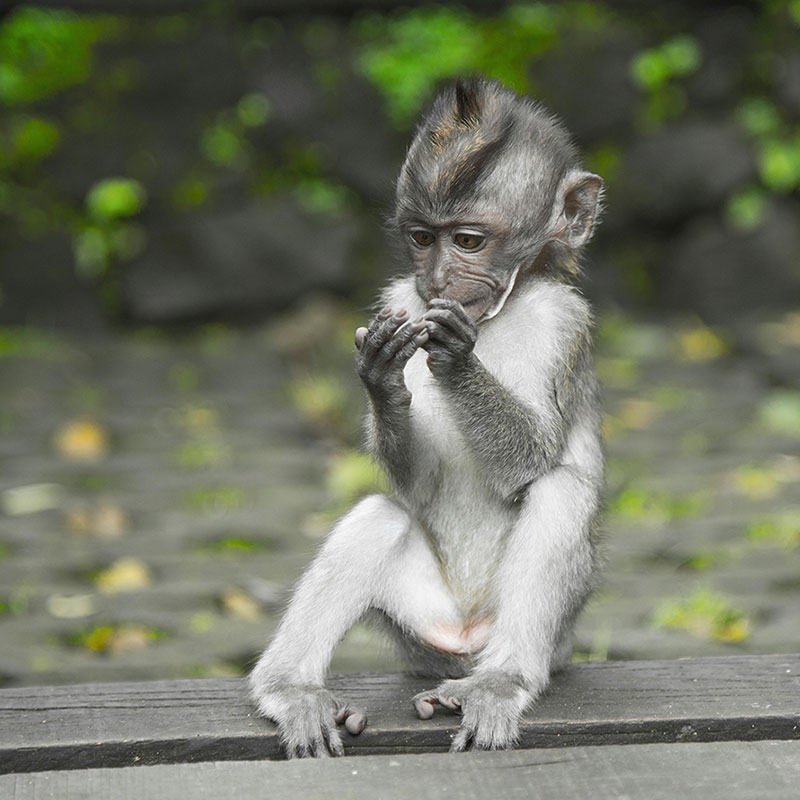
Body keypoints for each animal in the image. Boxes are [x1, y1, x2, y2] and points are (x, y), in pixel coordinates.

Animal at [250, 77, 605, 757]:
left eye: (466, 241)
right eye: (421, 238)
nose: (436, 279)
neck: (501, 313)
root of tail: (464, 637)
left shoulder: (565, 321)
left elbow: (535, 459)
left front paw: (458, 358)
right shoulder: (398, 300)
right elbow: (413, 484)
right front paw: (383, 381)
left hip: (556, 635)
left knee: (561, 492)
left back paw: (499, 682)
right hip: (417, 628)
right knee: (378, 515)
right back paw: (293, 691)